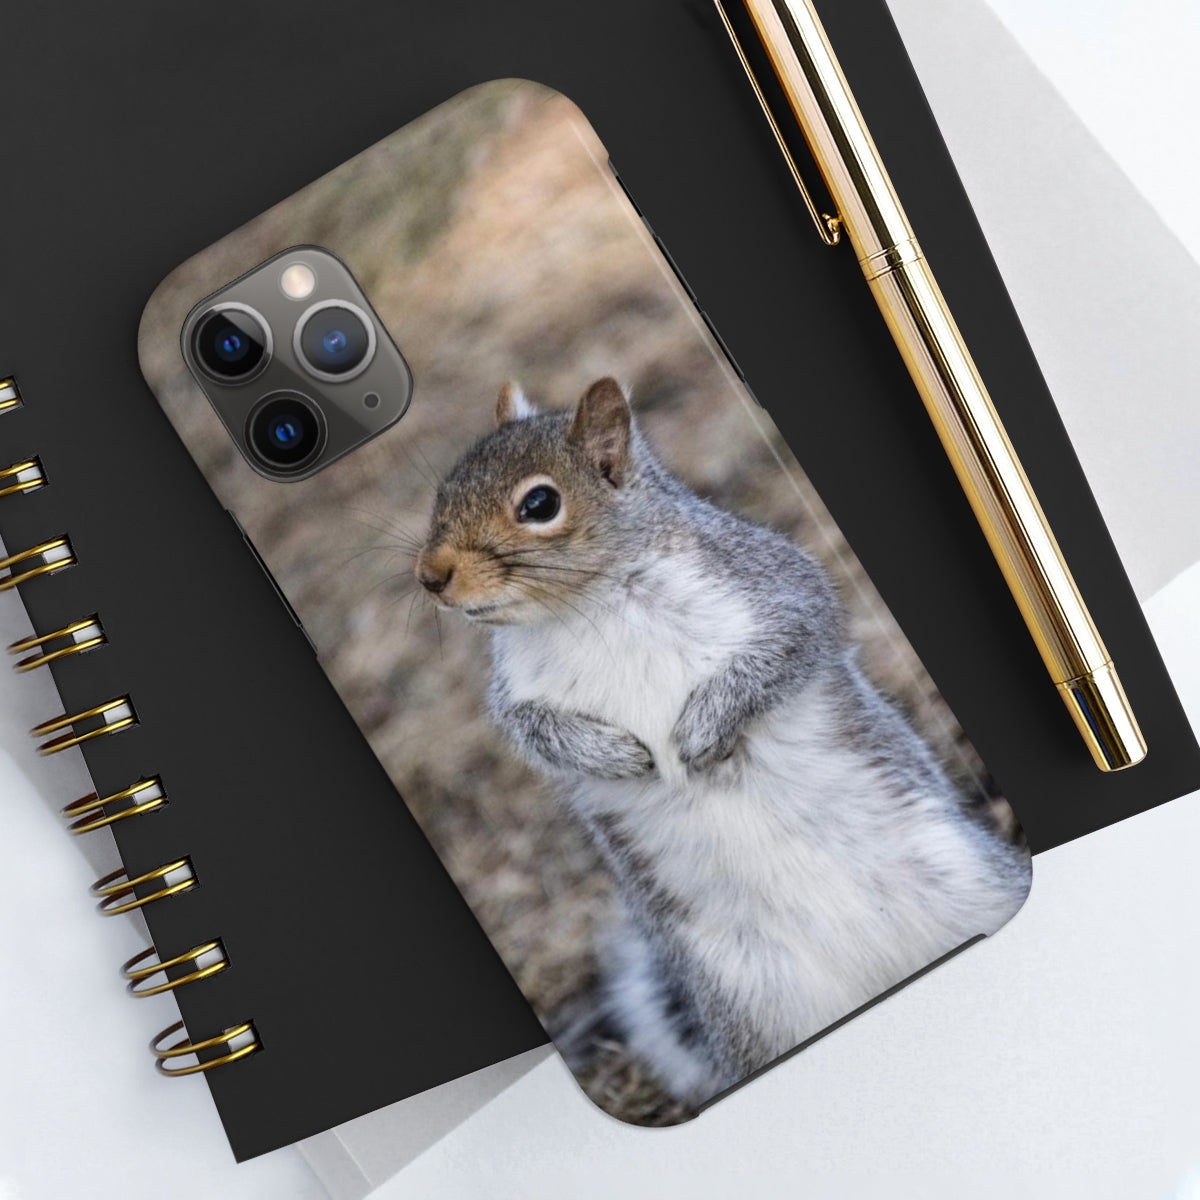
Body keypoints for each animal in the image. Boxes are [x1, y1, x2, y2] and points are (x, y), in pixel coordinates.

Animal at [416, 377, 1032, 1106]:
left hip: (974, 884)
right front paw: (615, 755)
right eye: (442, 490)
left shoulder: (774, 588)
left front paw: (701, 731)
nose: (430, 576)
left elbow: (790, 642)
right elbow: (537, 734)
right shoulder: (516, 695)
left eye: (539, 504)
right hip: (750, 1006)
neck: (586, 607)